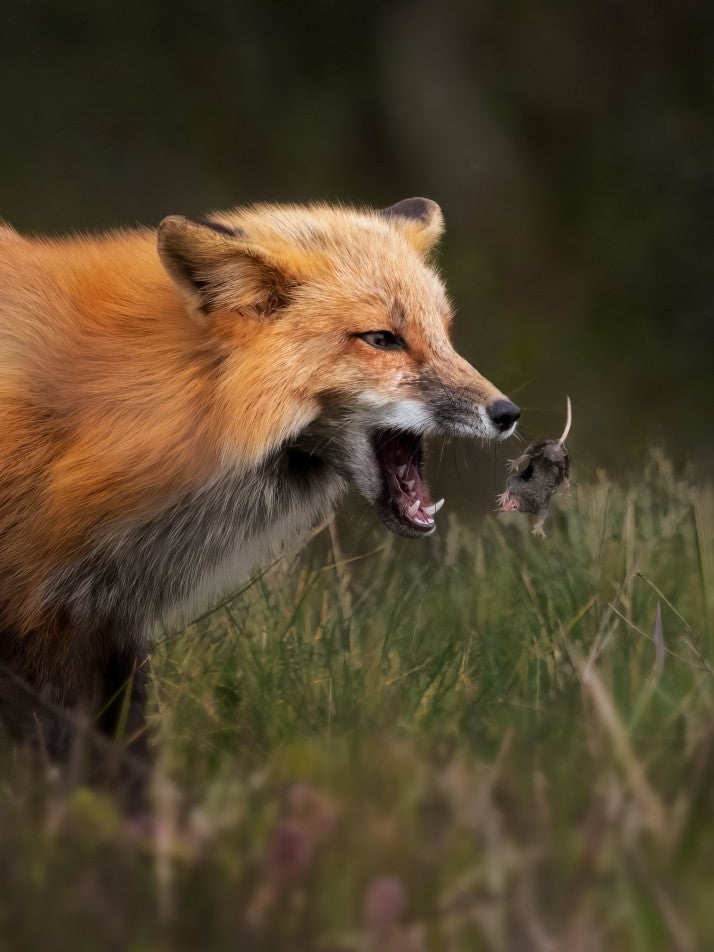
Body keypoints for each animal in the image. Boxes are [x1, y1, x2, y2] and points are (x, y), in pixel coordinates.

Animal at [0, 197, 519, 800]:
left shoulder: (105, 626)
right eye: (382, 339)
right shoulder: (36, 624)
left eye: (446, 334)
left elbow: (127, 762)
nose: (508, 414)